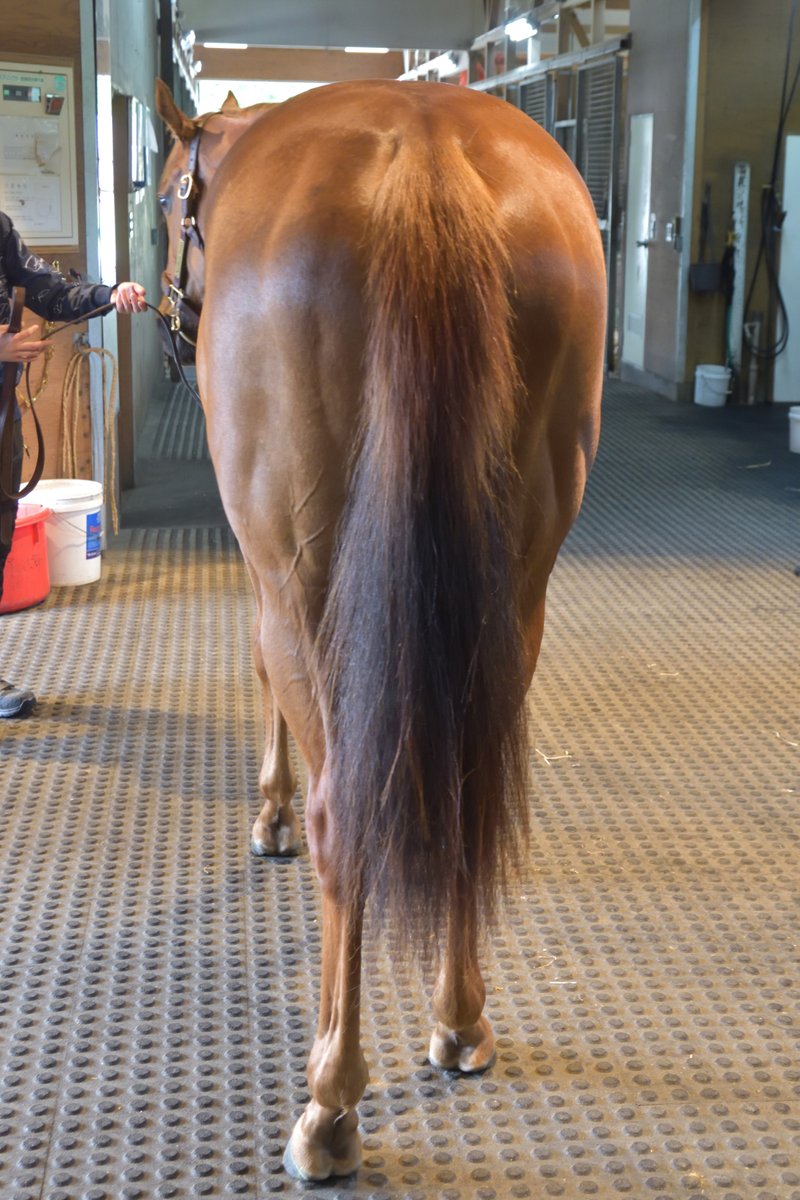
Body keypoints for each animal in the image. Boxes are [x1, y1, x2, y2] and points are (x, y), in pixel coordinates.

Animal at [155, 76, 606, 1182]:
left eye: (165, 198)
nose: (172, 327)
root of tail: (425, 149)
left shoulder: (270, 576)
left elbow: (261, 680)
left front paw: (268, 814)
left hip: (308, 582)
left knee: (344, 819)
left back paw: (329, 1104)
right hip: (513, 597)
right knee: (468, 788)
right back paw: (459, 1022)